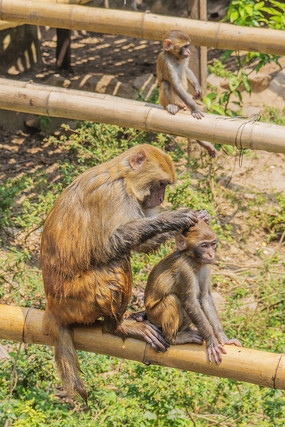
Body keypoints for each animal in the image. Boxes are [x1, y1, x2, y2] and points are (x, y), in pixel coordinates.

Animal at [41, 144, 206, 402]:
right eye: (161, 184)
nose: (161, 198)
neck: (124, 177)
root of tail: (52, 305)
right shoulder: (112, 195)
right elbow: (110, 244)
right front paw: (172, 217)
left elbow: (138, 245)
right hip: (78, 301)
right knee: (117, 264)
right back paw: (117, 326)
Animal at [144, 221, 240, 364]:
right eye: (204, 246)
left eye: (213, 244)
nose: (211, 254)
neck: (194, 260)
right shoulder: (185, 270)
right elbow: (190, 303)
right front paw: (211, 340)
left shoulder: (205, 267)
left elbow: (205, 299)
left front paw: (222, 337)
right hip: (155, 316)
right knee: (172, 298)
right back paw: (173, 338)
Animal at [156, 29, 216, 159]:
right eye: (184, 47)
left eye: (188, 46)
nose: (188, 51)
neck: (175, 57)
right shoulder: (167, 62)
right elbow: (176, 85)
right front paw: (195, 108)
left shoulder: (185, 58)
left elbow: (187, 69)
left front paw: (198, 89)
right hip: (166, 100)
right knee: (166, 84)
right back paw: (172, 106)